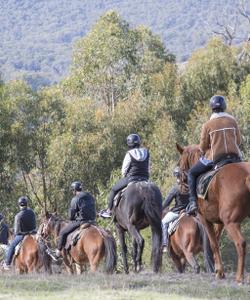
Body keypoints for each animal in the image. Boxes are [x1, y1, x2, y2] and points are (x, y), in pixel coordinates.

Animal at [177, 144, 250, 284]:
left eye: (180, 163)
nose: (181, 188)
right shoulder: (219, 223)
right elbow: (216, 240)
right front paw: (217, 269)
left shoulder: (204, 219)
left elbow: (213, 243)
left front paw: (219, 272)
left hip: (231, 223)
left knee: (240, 243)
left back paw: (239, 277)